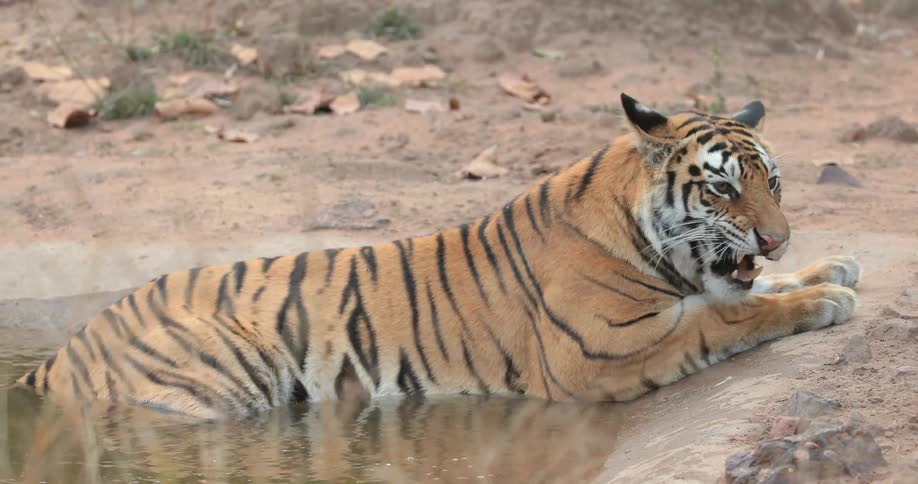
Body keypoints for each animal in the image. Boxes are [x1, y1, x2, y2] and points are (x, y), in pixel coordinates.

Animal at [16, 93, 861, 419]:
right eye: (721, 191)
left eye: (774, 183)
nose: (777, 238)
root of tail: (62, 355)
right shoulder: (605, 349)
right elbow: (725, 317)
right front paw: (825, 298)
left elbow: (740, 295)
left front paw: (832, 269)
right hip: (226, 368)